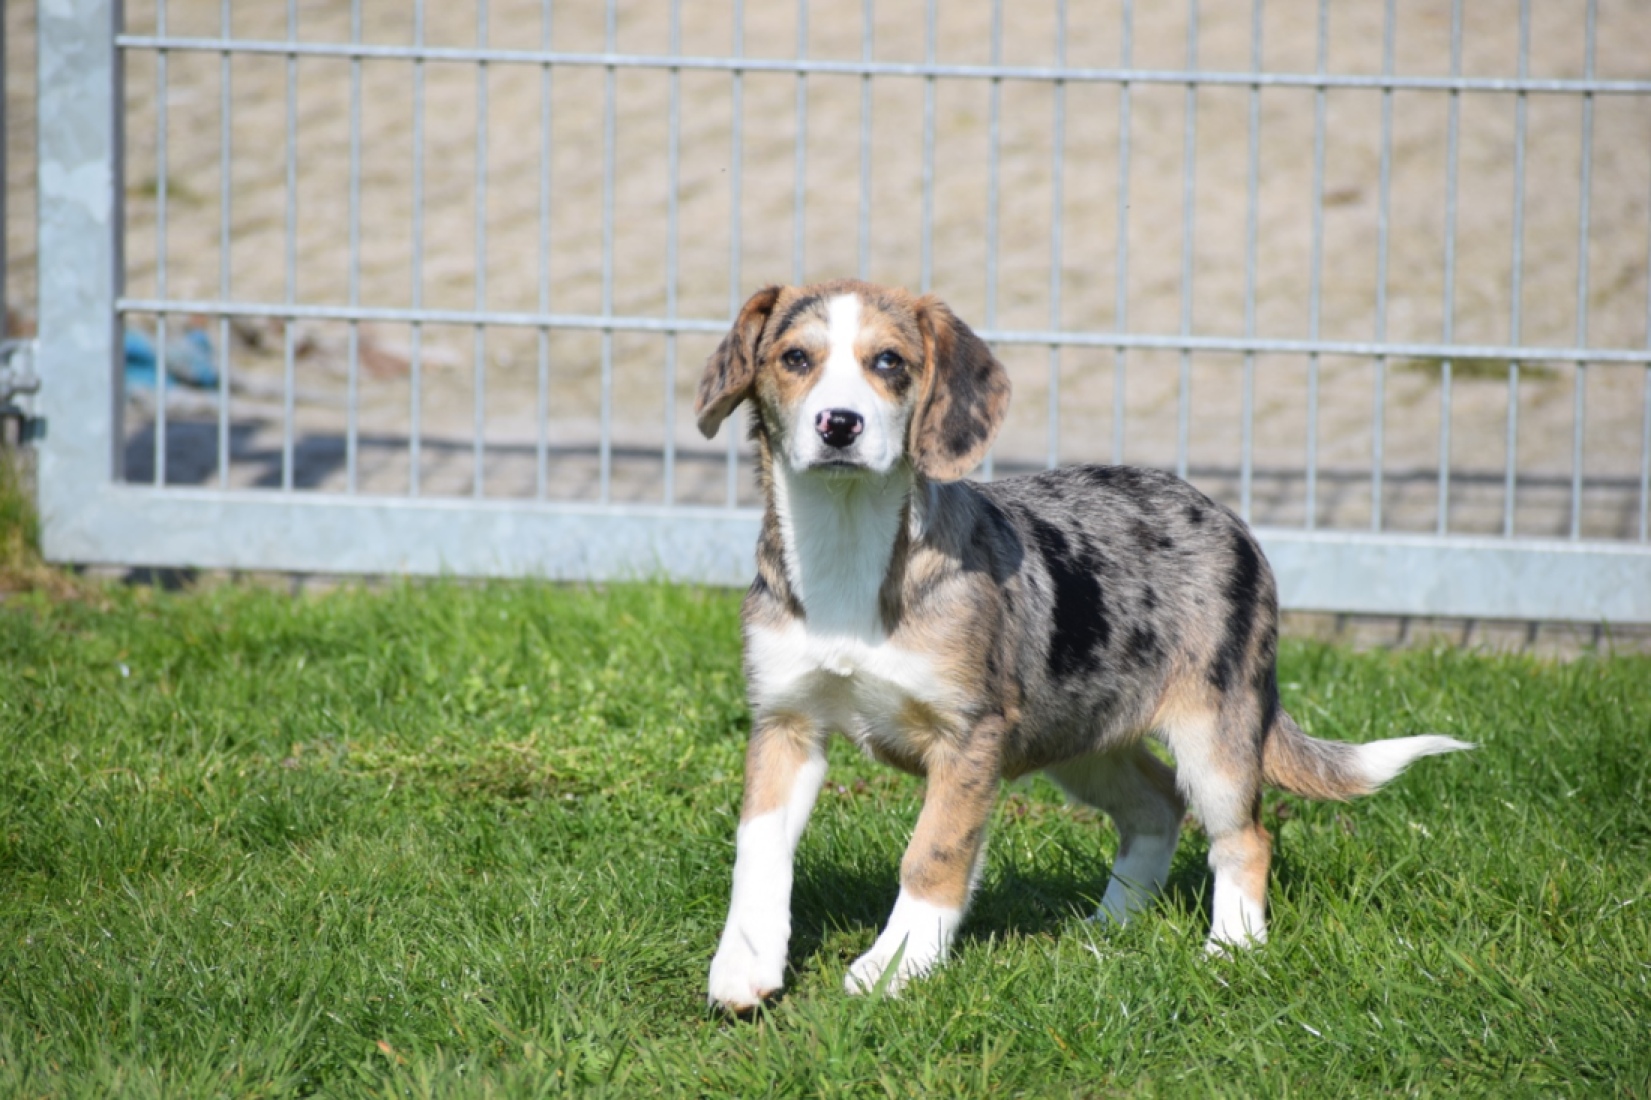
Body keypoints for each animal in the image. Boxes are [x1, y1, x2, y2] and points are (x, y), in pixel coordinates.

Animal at [697, 279, 1470, 1012]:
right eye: (795, 359)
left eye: (889, 362)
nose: (838, 425)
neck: (846, 541)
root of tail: (1230, 518)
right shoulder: (784, 723)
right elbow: (757, 853)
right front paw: (744, 967)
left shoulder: (969, 738)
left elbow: (932, 855)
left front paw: (894, 968)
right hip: (1077, 737)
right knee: (1158, 805)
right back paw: (1109, 926)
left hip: (1213, 732)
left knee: (1243, 837)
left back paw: (1231, 950)